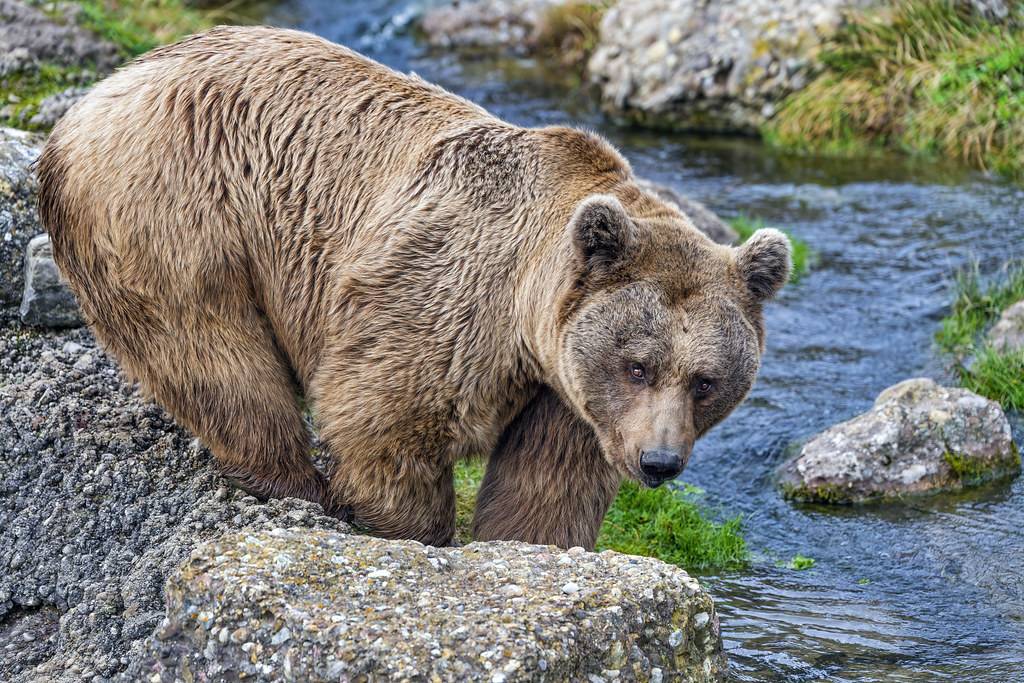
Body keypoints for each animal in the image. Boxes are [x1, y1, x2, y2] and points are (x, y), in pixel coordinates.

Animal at [37, 25, 790, 548]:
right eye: (639, 364)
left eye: (705, 380)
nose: (658, 461)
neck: (523, 317)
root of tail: (89, 103)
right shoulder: (440, 294)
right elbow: (386, 418)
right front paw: (407, 527)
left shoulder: (568, 394)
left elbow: (547, 487)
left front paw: (531, 545)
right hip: (174, 206)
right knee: (216, 355)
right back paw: (289, 478)